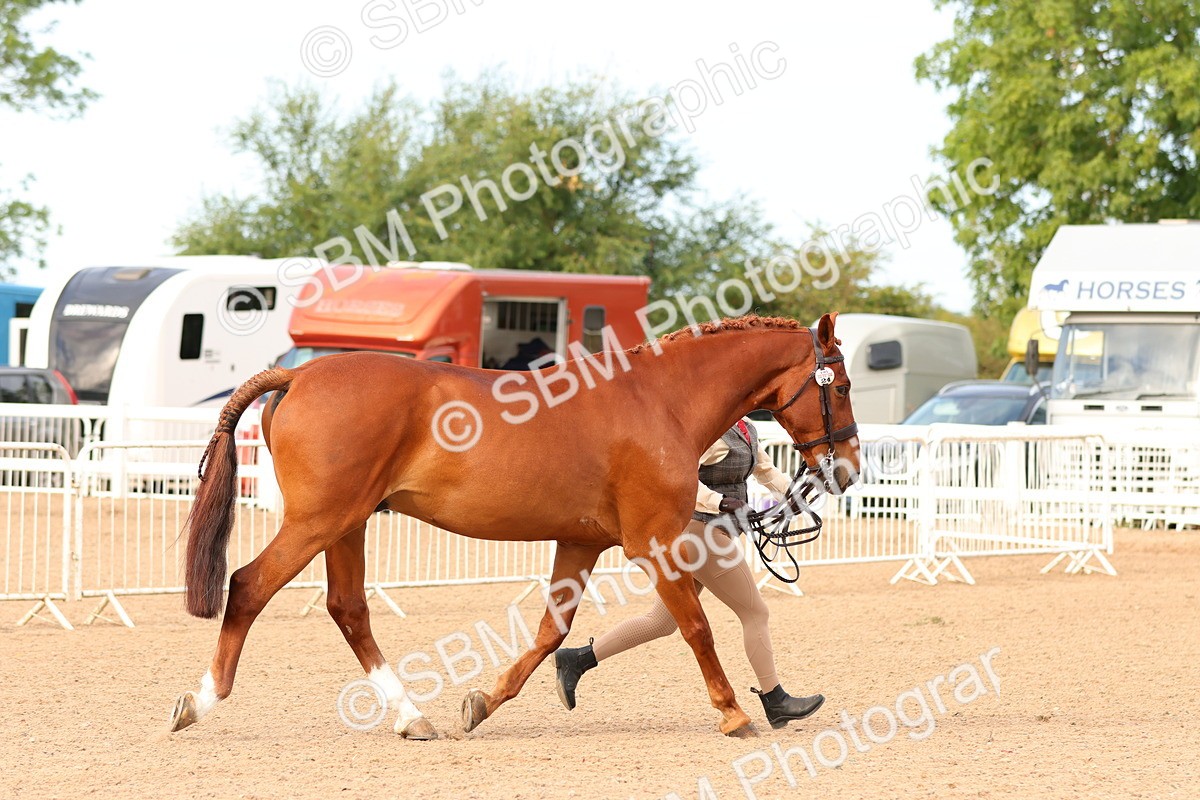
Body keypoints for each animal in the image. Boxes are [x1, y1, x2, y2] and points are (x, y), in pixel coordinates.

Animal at [168, 313, 860, 739]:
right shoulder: (656, 543)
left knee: (348, 609)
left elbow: (552, 633)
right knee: (250, 586)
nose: (848, 469)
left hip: (347, 525)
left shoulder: (581, 542)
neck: (660, 400)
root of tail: (299, 372)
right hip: (320, 521)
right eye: (842, 386)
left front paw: (482, 702)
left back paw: (411, 718)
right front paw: (734, 713)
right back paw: (200, 701)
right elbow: (696, 627)